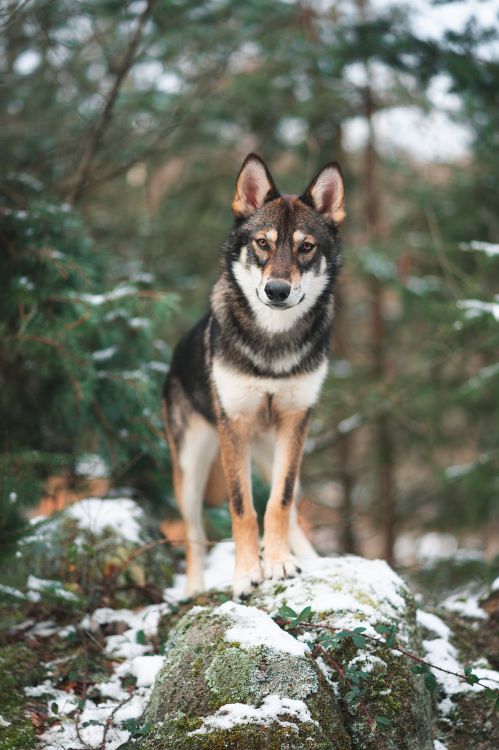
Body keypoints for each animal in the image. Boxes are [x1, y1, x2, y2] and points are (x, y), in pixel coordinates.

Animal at [162, 154, 346, 600]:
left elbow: (277, 503)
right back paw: (193, 590)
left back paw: (310, 559)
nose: (277, 290)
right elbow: (242, 508)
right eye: (262, 243)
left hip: (278, 449)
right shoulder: (235, 426)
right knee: (193, 535)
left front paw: (279, 563)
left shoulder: (296, 421)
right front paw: (247, 574)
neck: (272, 344)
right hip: (191, 469)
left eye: (305, 247)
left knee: (292, 508)